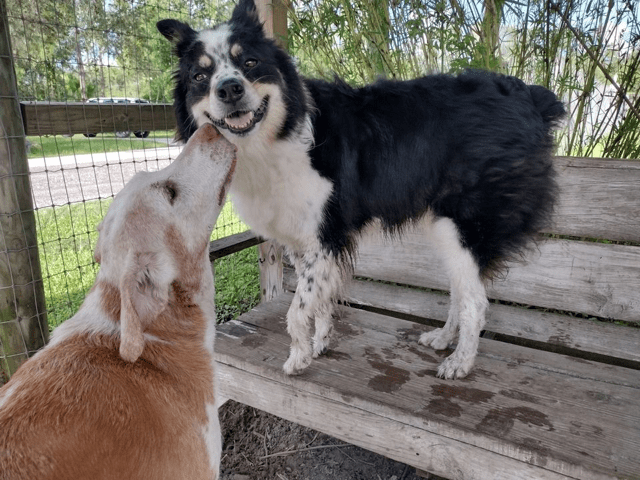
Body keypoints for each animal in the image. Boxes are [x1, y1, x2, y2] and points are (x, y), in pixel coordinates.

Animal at [159, 0, 564, 378]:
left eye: (251, 63)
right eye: (200, 75)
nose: (229, 88)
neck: (272, 140)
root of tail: (530, 96)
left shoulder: (325, 235)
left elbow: (296, 311)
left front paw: (297, 358)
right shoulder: (304, 243)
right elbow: (319, 299)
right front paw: (319, 342)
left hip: (463, 224)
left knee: (476, 301)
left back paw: (460, 363)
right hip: (443, 227)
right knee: (461, 289)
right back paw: (443, 339)